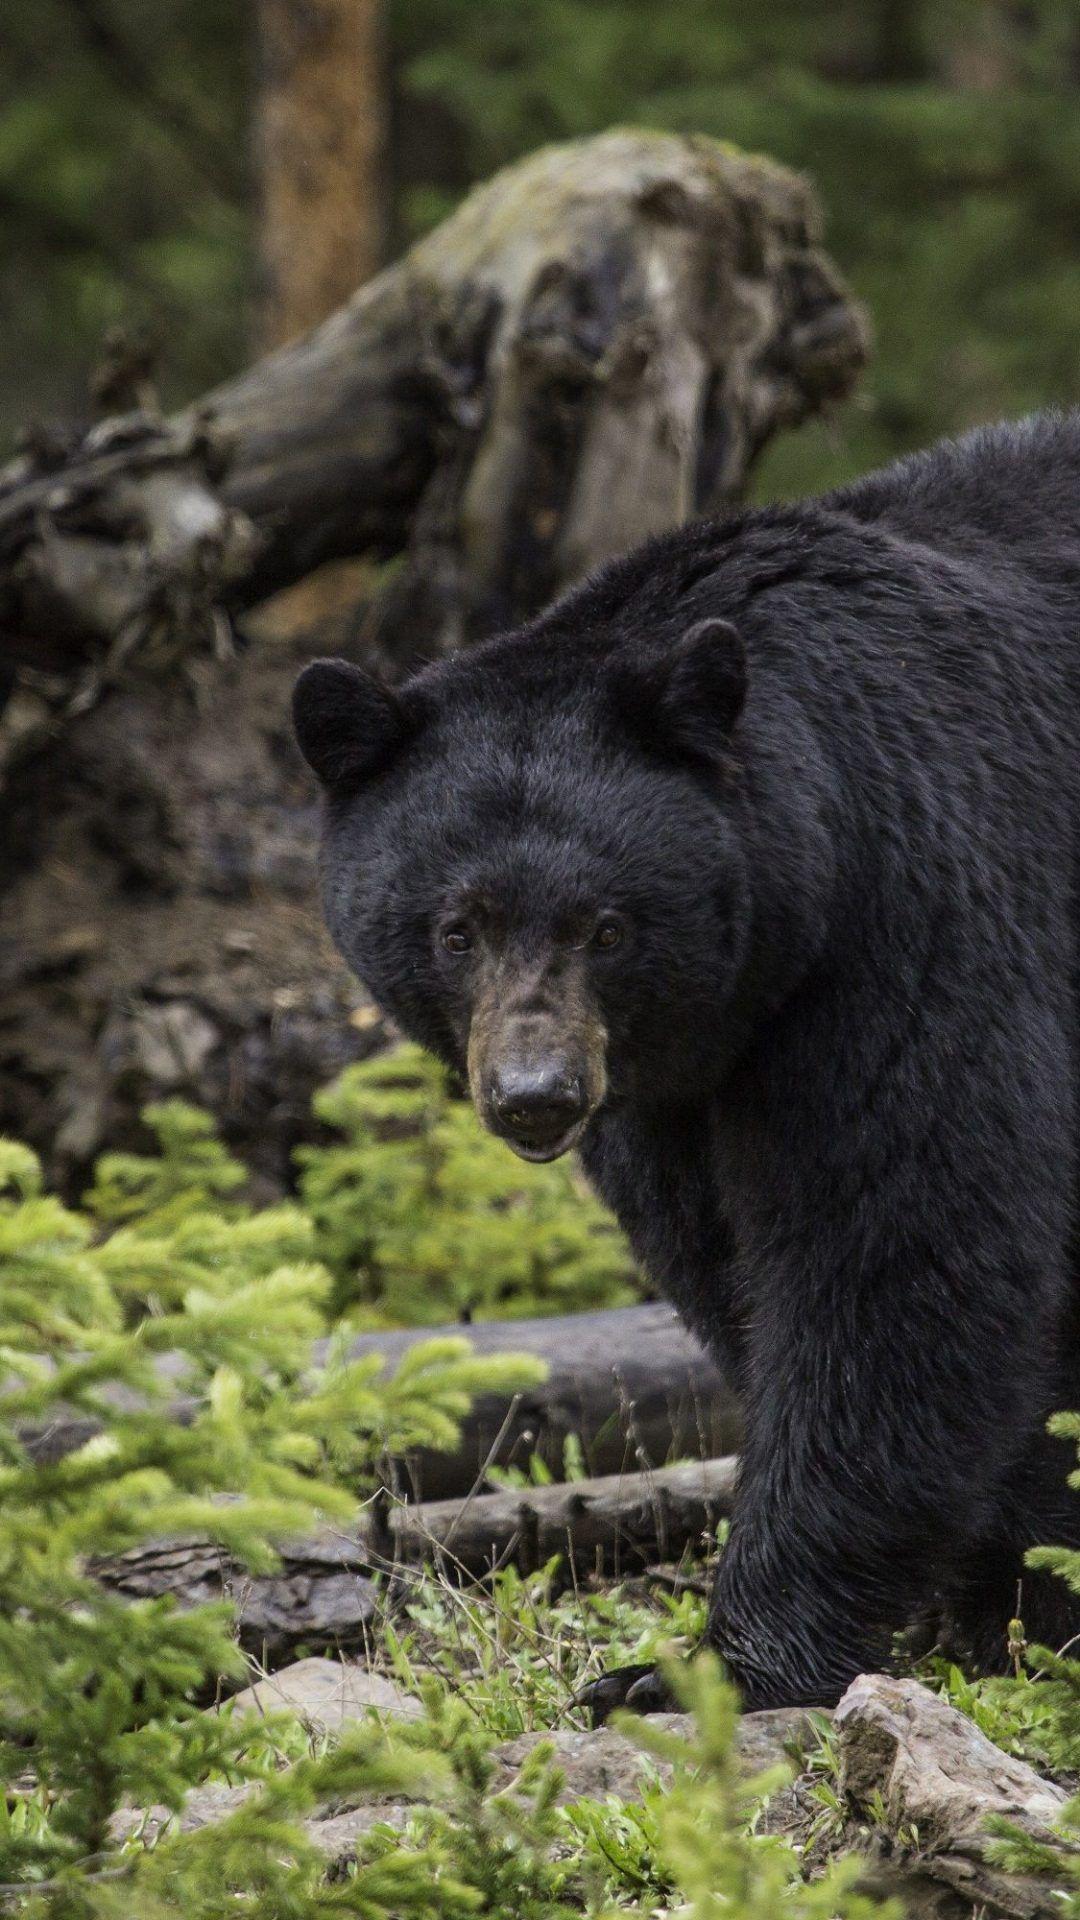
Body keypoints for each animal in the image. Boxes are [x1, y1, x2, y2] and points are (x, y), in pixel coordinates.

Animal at [292, 410, 1080, 1713]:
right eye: (457, 927)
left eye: (606, 925)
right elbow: (726, 1261)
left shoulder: (922, 913)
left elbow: (900, 1249)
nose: (535, 1099)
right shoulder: (675, 1085)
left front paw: (718, 1665)